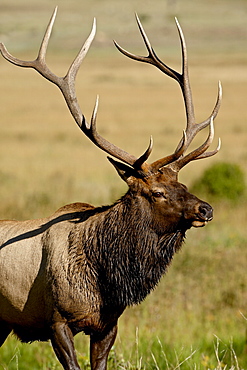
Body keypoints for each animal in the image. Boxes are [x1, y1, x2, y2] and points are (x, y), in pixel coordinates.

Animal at [0, 7, 221, 370]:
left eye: (183, 183)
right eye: (157, 192)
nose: (206, 209)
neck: (104, 280)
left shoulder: (108, 324)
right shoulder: (56, 320)